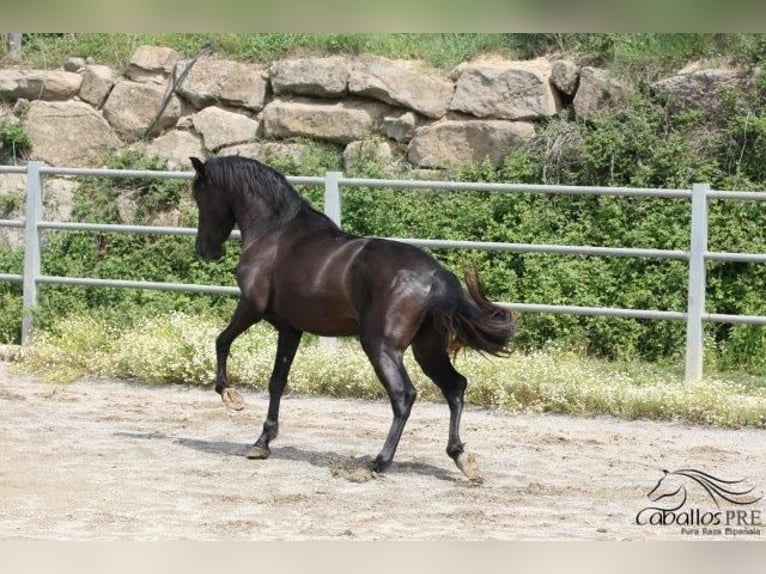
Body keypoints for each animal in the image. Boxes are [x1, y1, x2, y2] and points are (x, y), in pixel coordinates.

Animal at [190, 155, 516, 480]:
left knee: (404, 395)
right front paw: (262, 443)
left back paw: (380, 461)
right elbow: (277, 382)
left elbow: (221, 342)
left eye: (200, 195)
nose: (206, 251)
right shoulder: (290, 329)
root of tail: (436, 275)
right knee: (455, 387)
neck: (275, 232)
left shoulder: (252, 307)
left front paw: (231, 397)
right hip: (427, 349)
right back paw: (461, 456)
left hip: (381, 346)